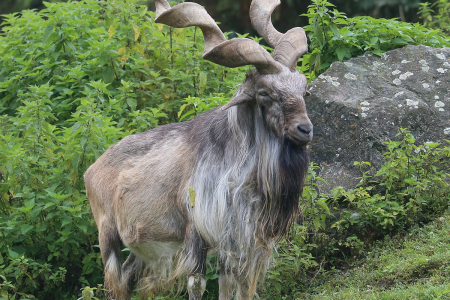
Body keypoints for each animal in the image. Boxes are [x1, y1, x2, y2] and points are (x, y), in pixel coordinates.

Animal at [85, 0, 312, 298]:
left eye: (303, 90)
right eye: (264, 93)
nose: (305, 129)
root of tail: (92, 169)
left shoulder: (239, 239)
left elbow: (232, 283)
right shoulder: (196, 229)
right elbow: (197, 282)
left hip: (144, 247)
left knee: (128, 278)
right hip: (107, 236)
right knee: (115, 282)